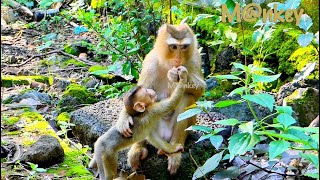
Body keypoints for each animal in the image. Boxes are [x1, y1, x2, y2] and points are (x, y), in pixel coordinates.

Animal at [115, 22, 205, 174]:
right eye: (173, 47)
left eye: (184, 46)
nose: (178, 59)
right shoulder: (150, 61)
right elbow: (139, 90)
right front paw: (124, 117)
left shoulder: (195, 58)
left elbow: (200, 91)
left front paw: (179, 76)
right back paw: (138, 148)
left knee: (187, 97)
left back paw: (174, 149)